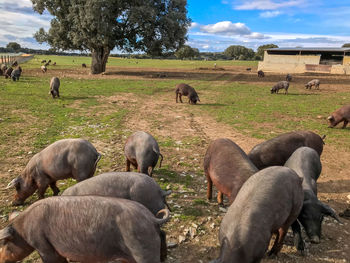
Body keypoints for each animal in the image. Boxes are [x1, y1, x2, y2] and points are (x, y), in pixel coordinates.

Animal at [0, 197, 170, 262]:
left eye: (5, 243)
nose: (1, 260)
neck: (23, 229)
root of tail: (152, 218)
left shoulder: (43, 245)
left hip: (141, 248)